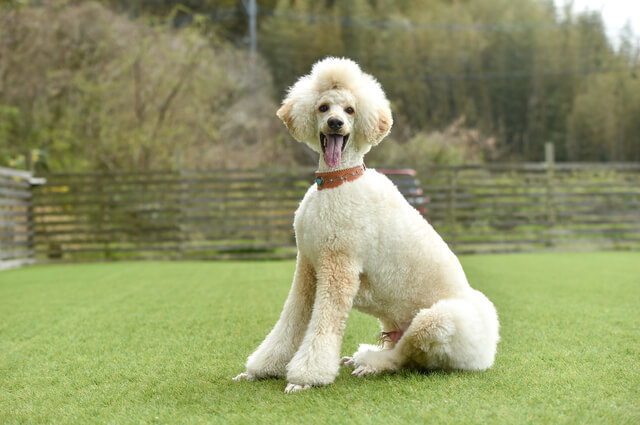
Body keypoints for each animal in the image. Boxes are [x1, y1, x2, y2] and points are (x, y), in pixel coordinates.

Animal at [232, 58, 498, 392]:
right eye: (323, 107)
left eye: (350, 110)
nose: (335, 123)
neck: (338, 182)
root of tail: (488, 354)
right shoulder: (308, 266)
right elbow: (291, 321)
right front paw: (260, 369)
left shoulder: (339, 267)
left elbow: (323, 326)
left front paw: (306, 377)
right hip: (394, 322)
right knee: (398, 347)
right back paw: (358, 358)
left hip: (437, 321)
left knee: (404, 357)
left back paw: (369, 365)